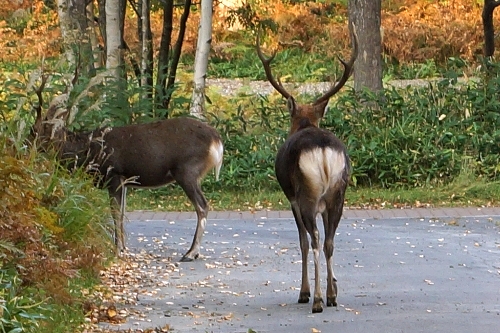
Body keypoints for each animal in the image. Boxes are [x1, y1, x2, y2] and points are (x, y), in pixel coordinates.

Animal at [32, 76, 224, 262]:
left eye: (34, 131)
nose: (27, 147)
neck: (88, 152)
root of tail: (217, 141)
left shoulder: (114, 175)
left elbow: (116, 213)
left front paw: (117, 250)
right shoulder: (124, 181)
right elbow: (123, 213)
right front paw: (123, 247)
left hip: (187, 170)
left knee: (202, 205)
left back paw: (191, 253)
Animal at [256, 27, 358, 312]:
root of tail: (322, 150)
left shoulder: (290, 198)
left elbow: (301, 241)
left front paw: (304, 292)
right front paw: (334, 286)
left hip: (307, 192)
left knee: (313, 238)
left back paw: (317, 300)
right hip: (338, 192)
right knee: (329, 240)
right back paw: (331, 296)